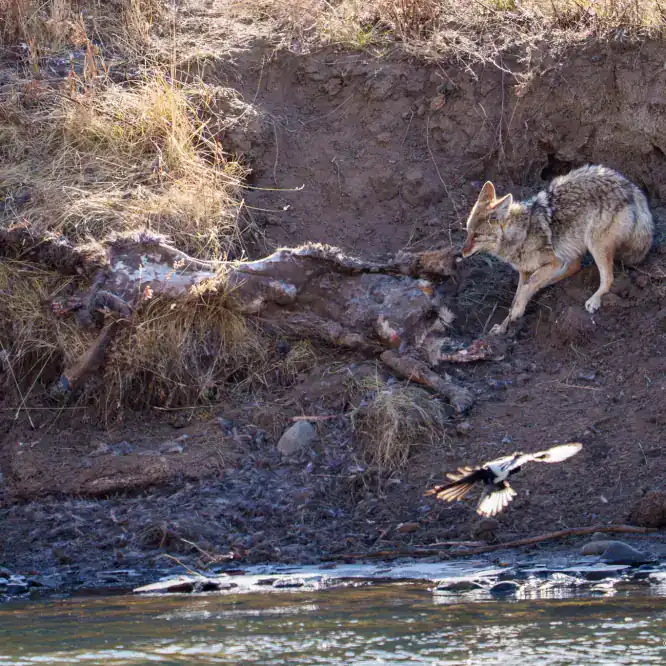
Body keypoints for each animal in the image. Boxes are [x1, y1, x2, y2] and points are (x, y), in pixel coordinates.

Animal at [460, 165, 654, 335]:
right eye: (468, 232)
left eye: (477, 236)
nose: (461, 253)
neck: (522, 232)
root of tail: (630, 187)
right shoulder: (525, 271)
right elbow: (517, 296)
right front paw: (503, 327)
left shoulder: (554, 261)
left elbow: (526, 288)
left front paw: (517, 311)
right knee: (573, 268)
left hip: (594, 244)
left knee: (607, 278)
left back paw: (594, 299)